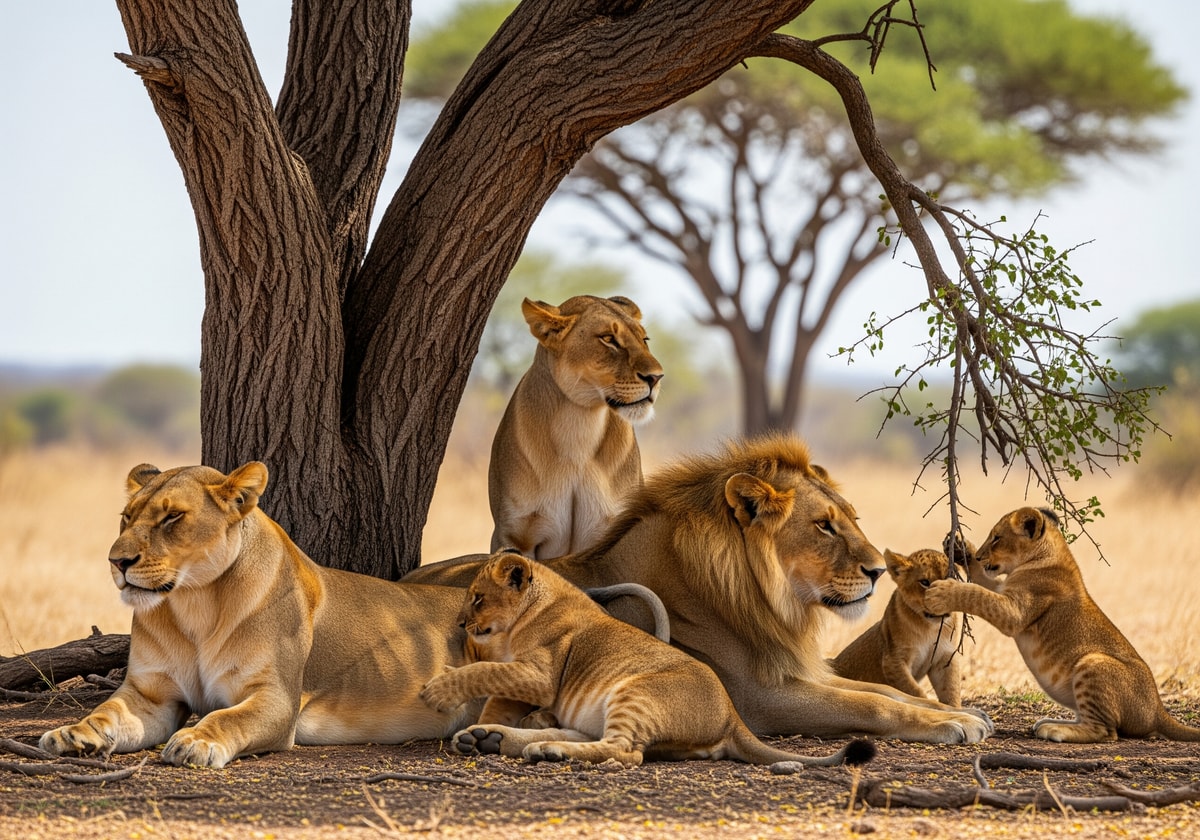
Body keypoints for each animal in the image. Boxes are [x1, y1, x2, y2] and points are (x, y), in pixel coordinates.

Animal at [39, 462, 480, 768]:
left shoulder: (277, 698)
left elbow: (227, 717)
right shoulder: (151, 695)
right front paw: (72, 733)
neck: (194, 604)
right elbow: (106, 711)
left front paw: (196, 741)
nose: (117, 562)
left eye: (172, 517)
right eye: (126, 517)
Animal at [420, 550, 874, 768]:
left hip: (636, 692)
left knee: (625, 751)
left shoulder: (540, 675)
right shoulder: (523, 681)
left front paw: (439, 691)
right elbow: (496, 693)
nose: (460, 623)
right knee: (593, 738)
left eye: (478, 599)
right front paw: (478, 729)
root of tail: (732, 715)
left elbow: (483, 669)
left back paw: (545, 750)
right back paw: (499, 740)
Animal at [829, 548, 963, 706]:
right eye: (925, 582)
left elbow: (950, 690)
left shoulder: (944, 658)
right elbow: (915, 692)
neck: (929, 627)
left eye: (949, 581)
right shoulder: (893, 660)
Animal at [925, 506, 1200, 743]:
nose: (981, 556)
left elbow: (976, 593)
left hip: (1093, 662)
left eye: (997, 538)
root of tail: (1157, 710)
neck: (1047, 555)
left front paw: (941, 593)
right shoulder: (1003, 587)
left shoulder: (1015, 612)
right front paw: (960, 548)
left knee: (1106, 732)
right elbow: (981, 580)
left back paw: (1054, 729)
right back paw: (1051, 721)